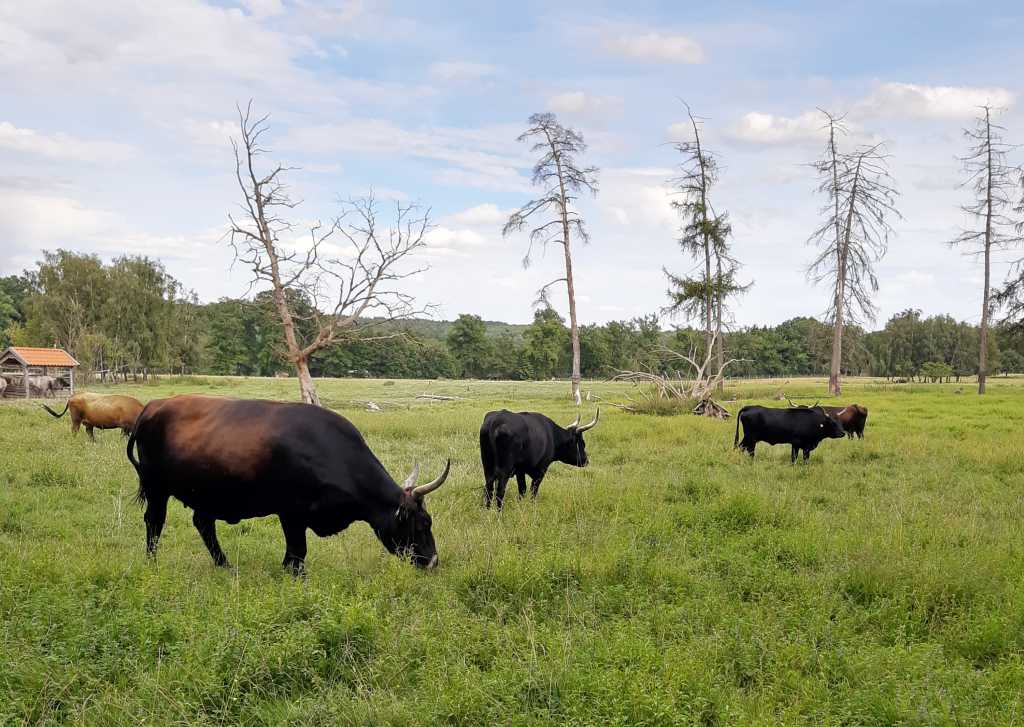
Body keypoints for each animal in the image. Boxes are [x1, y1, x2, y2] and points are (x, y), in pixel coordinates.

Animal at [125, 399, 450, 573]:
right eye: (423, 523)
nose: (433, 561)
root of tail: (153, 406)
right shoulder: (291, 513)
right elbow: (297, 552)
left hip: (205, 495)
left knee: (203, 524)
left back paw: (225, 565)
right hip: (156, 489)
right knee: (154, 522)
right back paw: (152, 563)